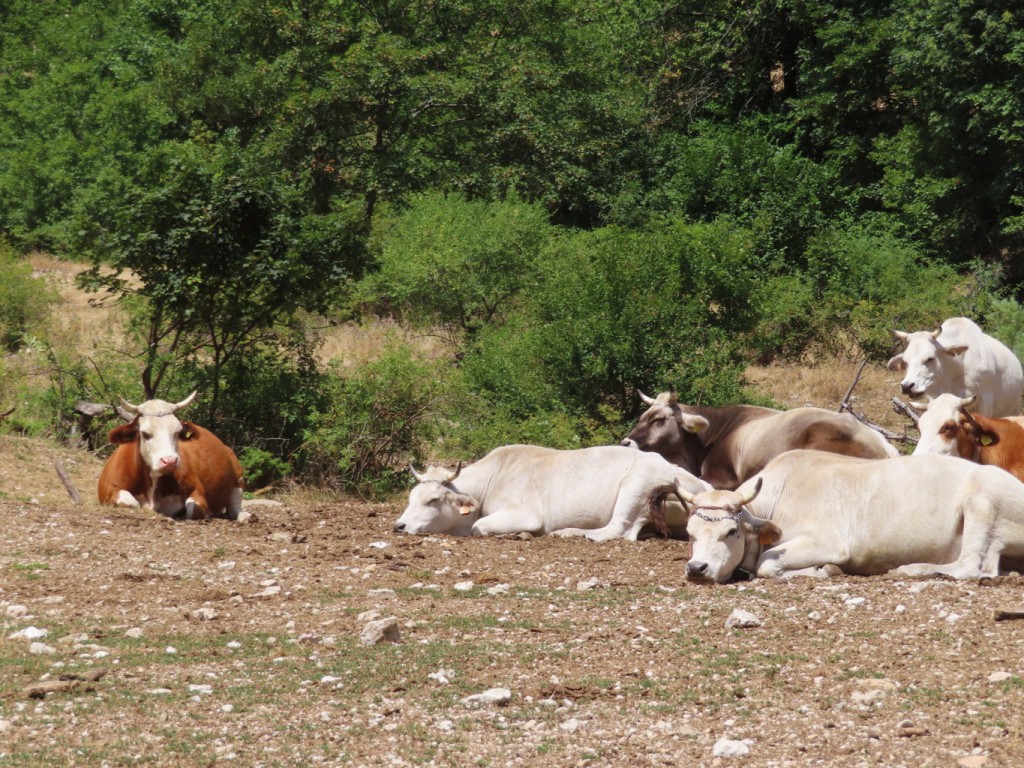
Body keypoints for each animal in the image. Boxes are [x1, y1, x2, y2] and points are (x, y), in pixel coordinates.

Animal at [96, 391, 246, 524]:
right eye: (145, 433)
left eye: (177, 432)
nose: (170, 461)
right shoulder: (109, 490)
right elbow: (131, 502)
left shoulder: (196, 490)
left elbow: (195, 509)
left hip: (237, 473)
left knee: (235, 504)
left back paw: (245, 516)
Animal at [675, 448, 1024, 581]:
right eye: (690, 534)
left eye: (731, 532)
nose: (697, 568)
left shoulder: (828, 542)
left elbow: (767, 564)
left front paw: (823, 571)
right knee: (987, 568)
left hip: (980, 501)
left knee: (969, 566)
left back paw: (912, 569)